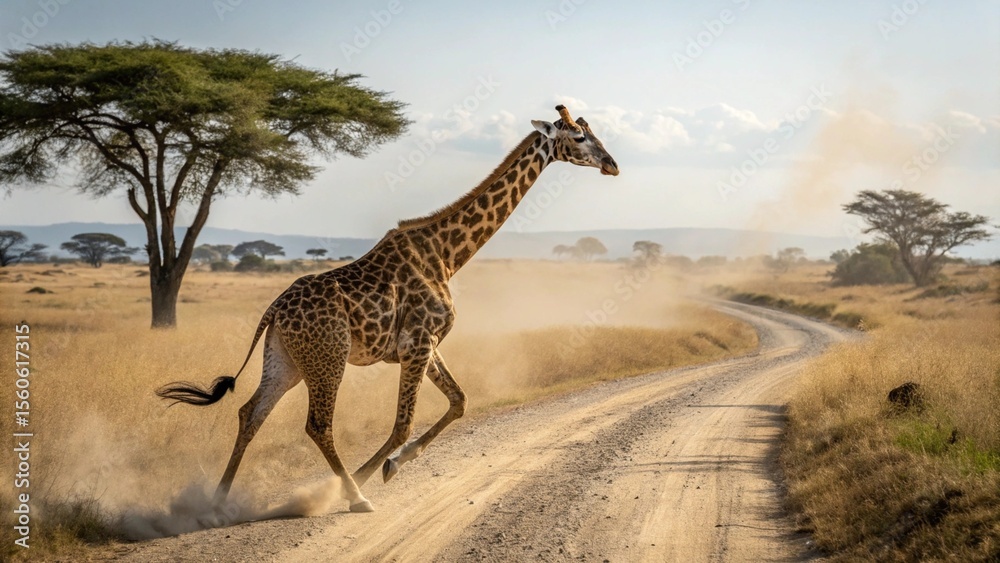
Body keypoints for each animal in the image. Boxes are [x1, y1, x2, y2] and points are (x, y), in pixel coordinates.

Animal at [157, 105, 619, 513]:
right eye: (579, 137)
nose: (613, 164)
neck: (448, 254)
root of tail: (273, 310)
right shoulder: (418, 342)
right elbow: (404, 423)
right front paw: (375, 474)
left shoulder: (425, 344)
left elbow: (459, 401)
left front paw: (390, 467)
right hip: (328, 358)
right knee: (317, 423)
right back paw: (356, 497)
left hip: (286, 359)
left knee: (250, 413)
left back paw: (217, 503)